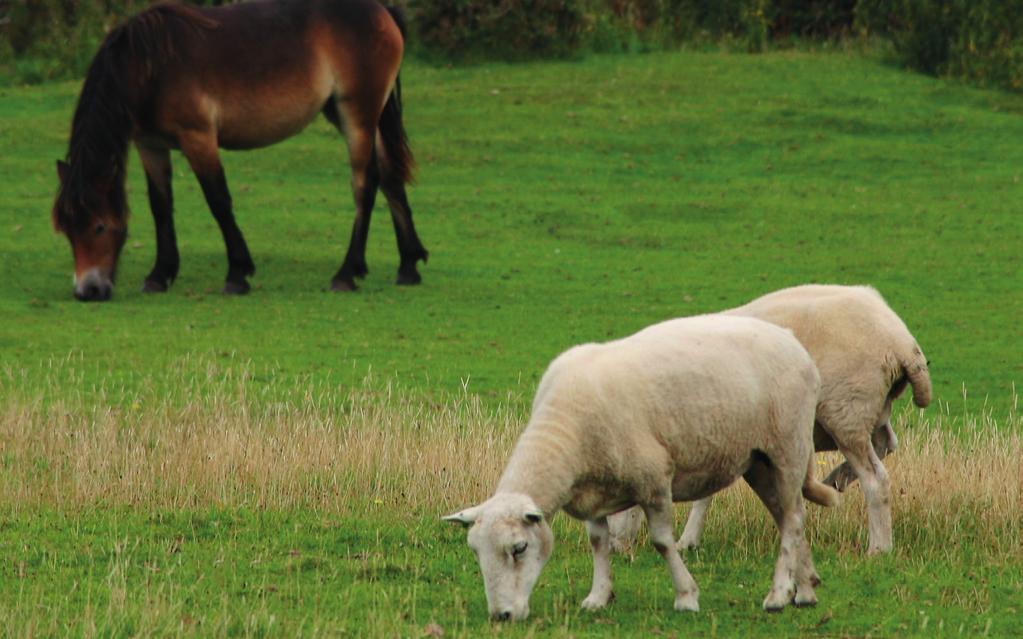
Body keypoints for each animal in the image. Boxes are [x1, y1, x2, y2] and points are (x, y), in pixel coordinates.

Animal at [50, 0, 427, 300]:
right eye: (66, 228)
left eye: (99, 226)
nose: (87, 290)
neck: (149, 66)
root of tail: (382, 10)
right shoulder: (151, 145)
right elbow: (161, 207)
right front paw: (159, 275)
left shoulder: (198, 138)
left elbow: (218, 202)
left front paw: (237, 273)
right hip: (349, 114)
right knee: (390, 177)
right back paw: (408, 266)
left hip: (357, 115)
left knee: (365, 184)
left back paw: (347, 273)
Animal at [443, 316, 834, 621]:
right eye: (475, 551)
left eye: (519, 548)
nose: (501, 615)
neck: (568, 435)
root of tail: (789, 338)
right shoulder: (593, 494)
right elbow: (598, 543)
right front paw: (598, 597)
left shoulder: (654, 481)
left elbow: (661, 541)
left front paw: (686, 596)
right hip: (757, 462)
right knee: (788, 516)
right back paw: (805, 589)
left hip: (788, 447)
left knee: (793, 519)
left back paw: (778, 595)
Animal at [609, 284, 932, 552]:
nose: (615, 547)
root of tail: (902, 342)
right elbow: (706, 494)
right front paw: (689, 541)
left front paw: (685, 540)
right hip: (869, 410)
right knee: (886, 443)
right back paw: (835, 480)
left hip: (846, 412)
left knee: (876, 480)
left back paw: (878, 549)